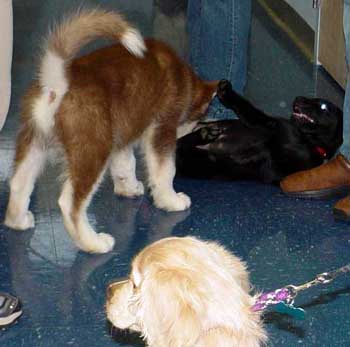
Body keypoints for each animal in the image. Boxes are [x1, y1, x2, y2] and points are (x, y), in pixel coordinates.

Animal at [4, 8, 219, 253]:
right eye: (200, 116)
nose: (205, 126)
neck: (183, 77)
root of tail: (57, 84)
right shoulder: (162, 128)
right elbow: (164, 171)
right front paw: (171, 200)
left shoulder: (122, 134)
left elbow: (126, 165)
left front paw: (129, 188)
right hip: (93, 149)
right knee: (70, 204)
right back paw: (94, 243)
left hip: (35, 142)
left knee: (19, 183)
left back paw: (18, 221)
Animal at [176, 80, 344, 184]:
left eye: (323, 107)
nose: (298, 98)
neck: (310, 142)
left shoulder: (270, 125)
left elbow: (248, 108)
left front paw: (227, 92)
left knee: (181, 144)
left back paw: (205, 134)